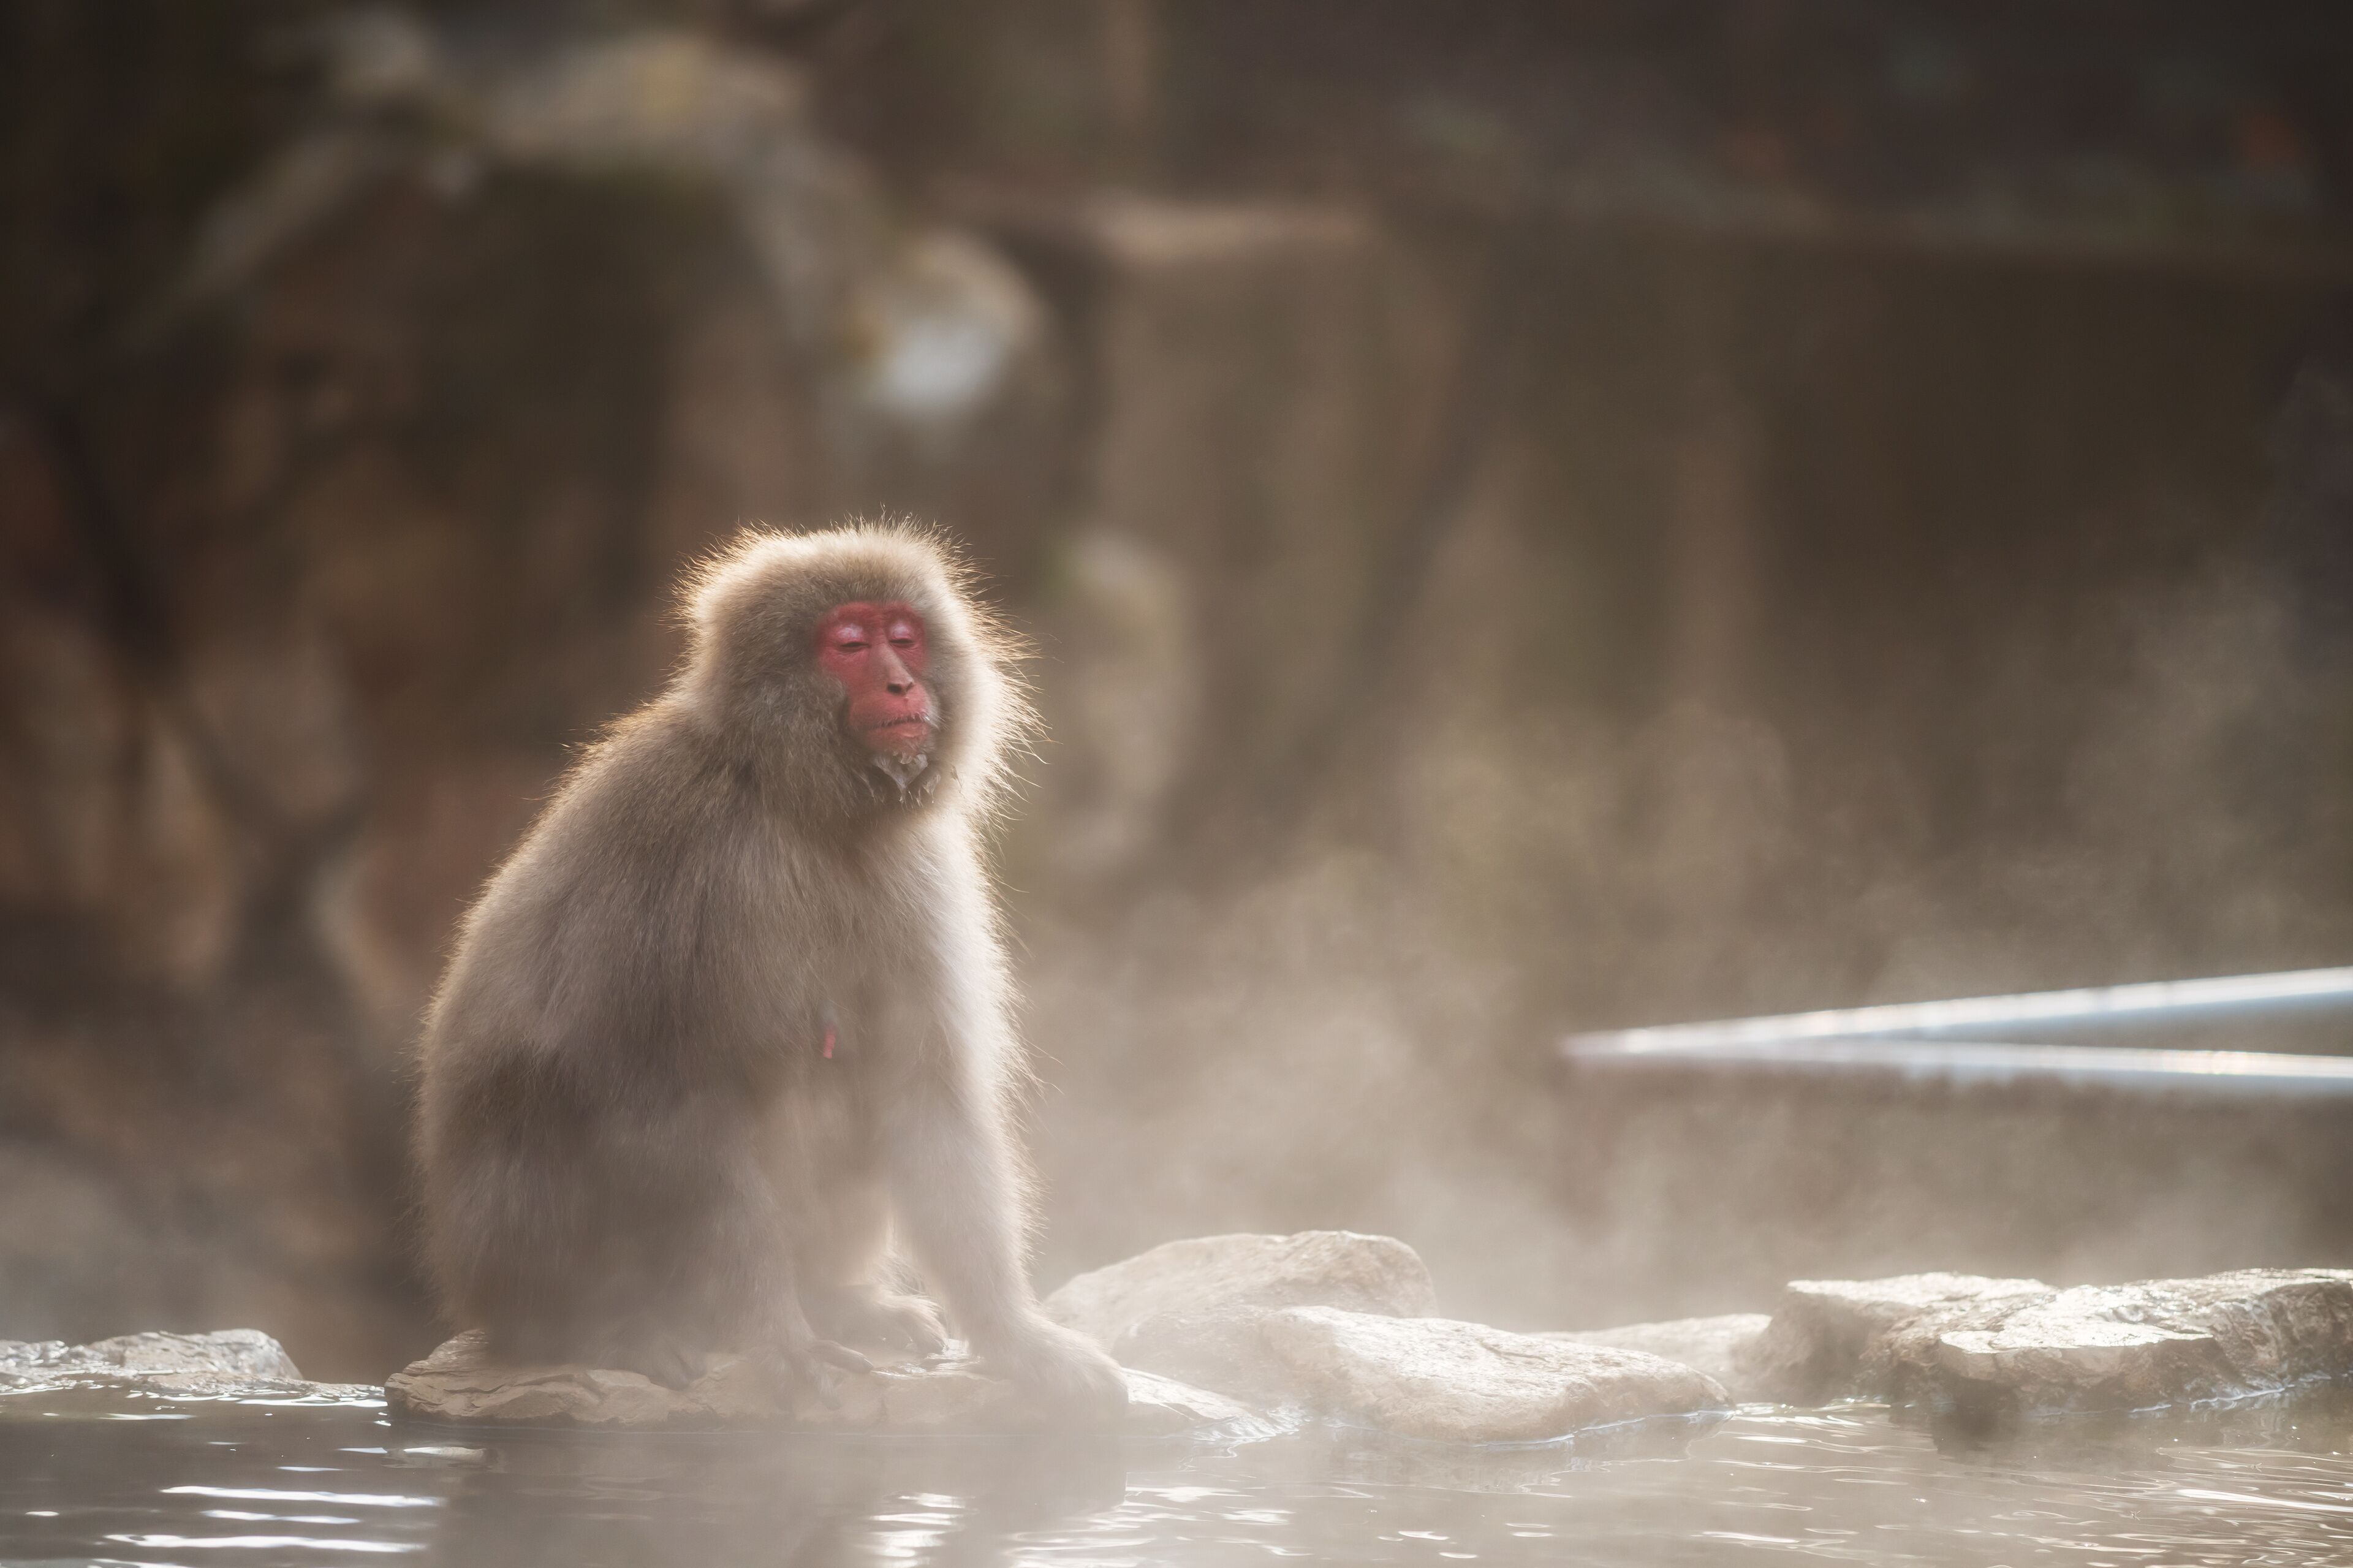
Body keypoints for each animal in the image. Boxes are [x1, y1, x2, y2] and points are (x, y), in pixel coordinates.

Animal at [413, 523, 1127, 1417]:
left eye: (904, 636)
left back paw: (837, 1301)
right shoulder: (702, 863)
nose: (901, 682)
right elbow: (676, 1102)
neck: (799, 804)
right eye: (849, 644)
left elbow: (922, 1090)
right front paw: (774, 1333)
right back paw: (605, 1328)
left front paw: (1014, 1336)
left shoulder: (916, 874)